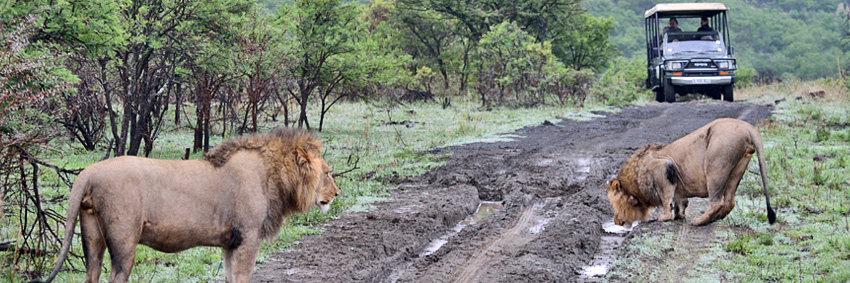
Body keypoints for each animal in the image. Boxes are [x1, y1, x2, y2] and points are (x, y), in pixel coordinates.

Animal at [34, 129, 338, 283]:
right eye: (328, 172)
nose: (335, 194)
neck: (274, 175)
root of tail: (88, 172)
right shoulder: (248, 238)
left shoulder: (231, 242)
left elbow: (230, 278)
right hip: (124, 242)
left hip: (92, 237)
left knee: (92, 274)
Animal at [604, 118, 776, 227]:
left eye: (614, 205)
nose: (616, 221)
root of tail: (747, 127)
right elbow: (679, 200)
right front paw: (679, 215)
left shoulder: (663, 167)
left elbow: (666, 199)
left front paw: (665, 217)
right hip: (738, 168)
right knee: (729, 201)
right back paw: (715, 219)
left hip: (715, 165)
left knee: (716, 202)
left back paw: (700, 221)